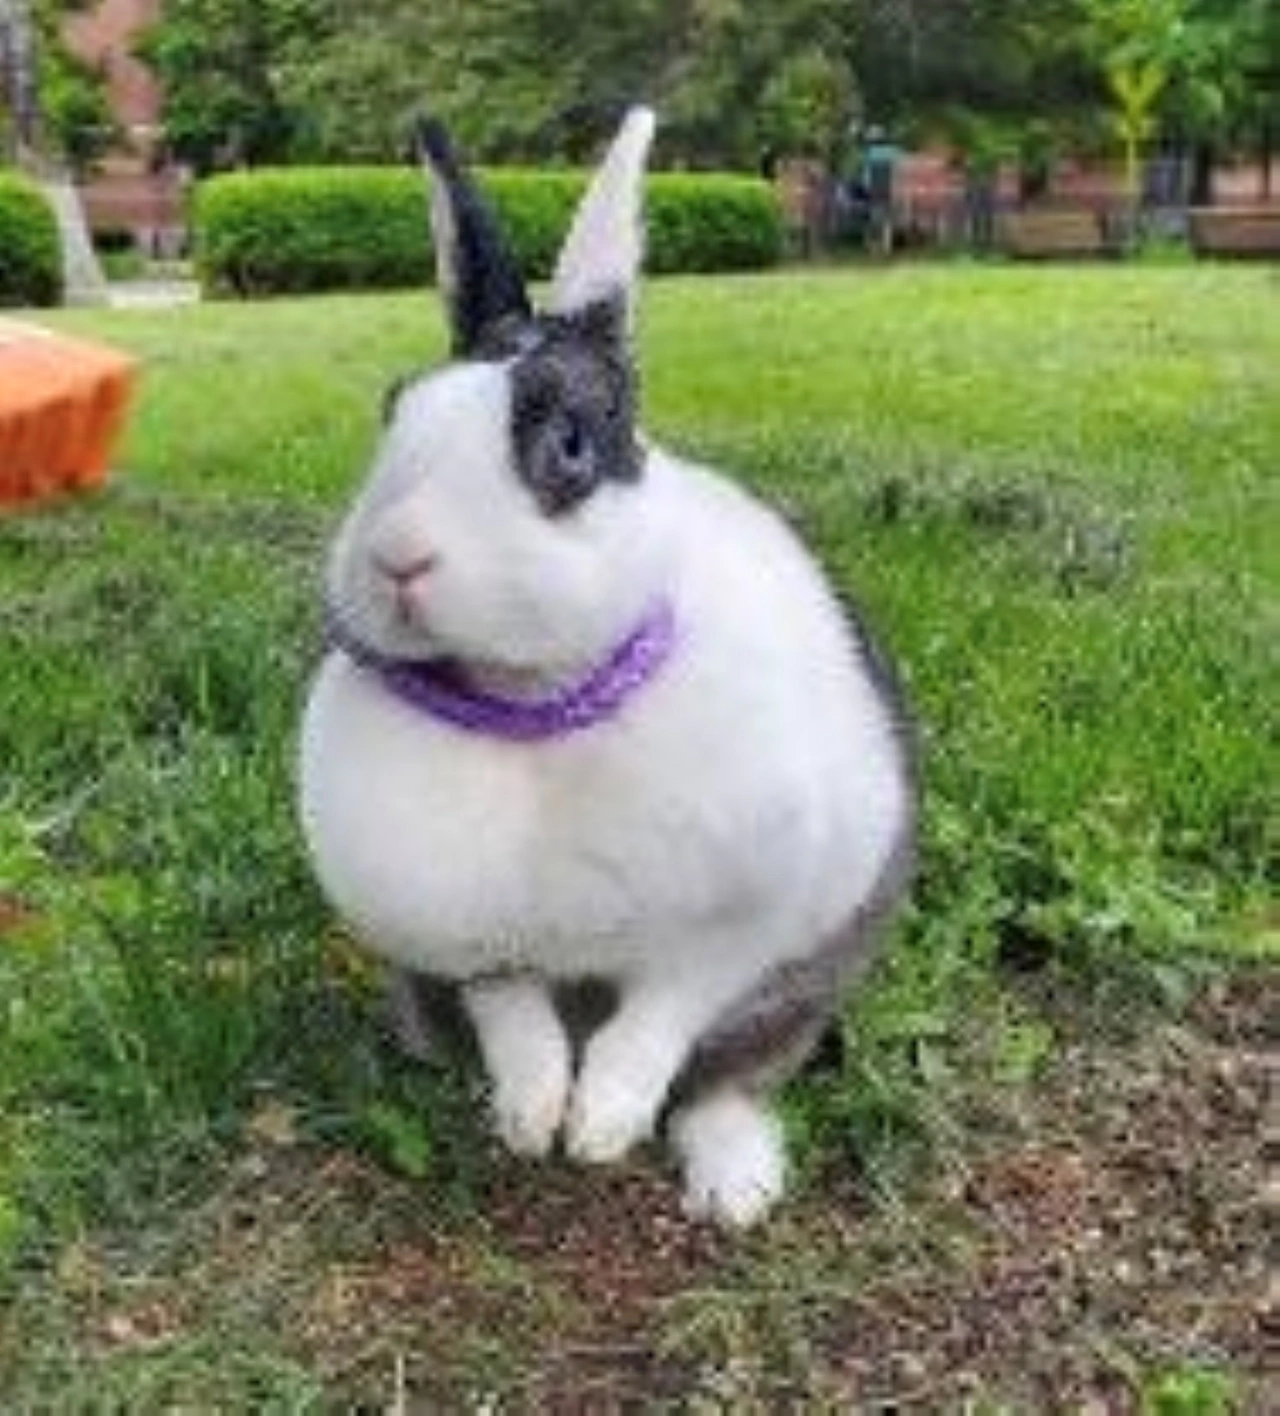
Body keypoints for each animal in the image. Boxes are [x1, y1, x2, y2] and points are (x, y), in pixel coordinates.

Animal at [298, 108, 917, 1228]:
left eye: (573, 445)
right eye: (392, 409)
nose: (398, 558)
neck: (539, 706)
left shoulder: (727, 933)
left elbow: (659, 1021)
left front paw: (600, 1128)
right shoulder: (473, 944)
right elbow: (514, 1015)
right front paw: (535, 1112)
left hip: (797, 997)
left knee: (721, 1083)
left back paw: (733, 1187)